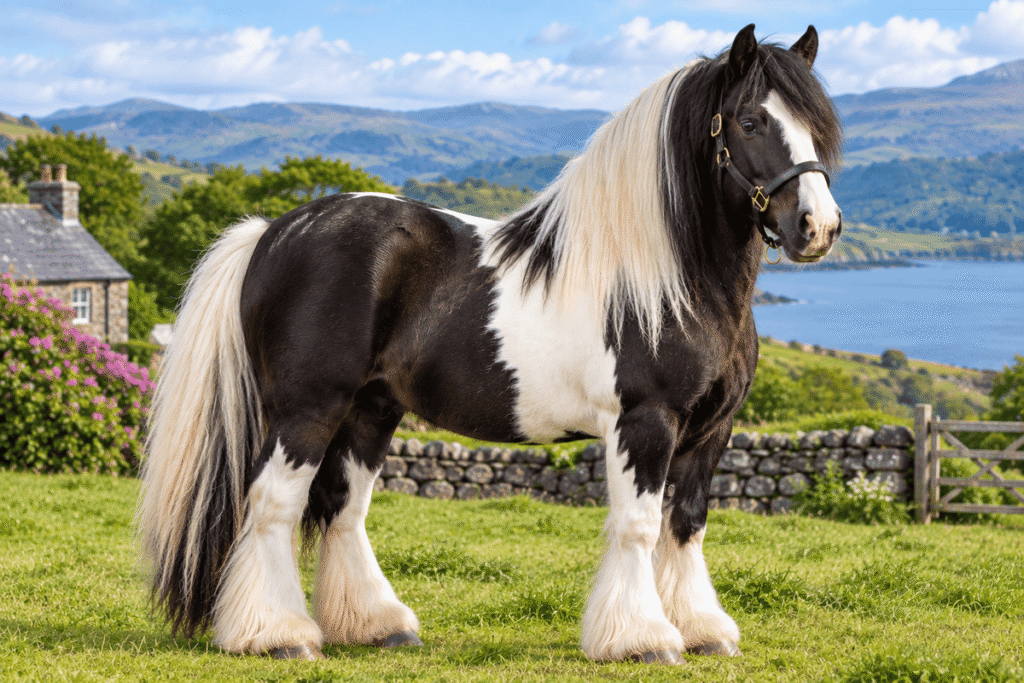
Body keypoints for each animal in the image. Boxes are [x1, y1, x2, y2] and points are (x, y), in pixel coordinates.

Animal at [138, 23, 842, 664]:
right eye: (749, 121)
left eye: (817, 126)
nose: (819, 227)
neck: (669, 277)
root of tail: (273, 232)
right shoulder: (645, 421)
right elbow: (639, 526)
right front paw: (642, 639)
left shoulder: (710, 430)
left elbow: (686, 525)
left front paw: (700, 631)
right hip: (307, 409)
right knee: (272, 506)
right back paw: (277, 635)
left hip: (370, 410)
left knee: (343, 508)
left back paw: (376, 625)